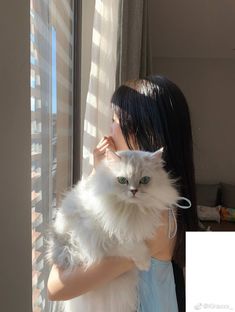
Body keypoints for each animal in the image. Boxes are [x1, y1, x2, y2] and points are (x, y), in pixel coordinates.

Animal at [46, 149, 178, 312]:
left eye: (145, 180)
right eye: (122, 180)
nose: (134, 191)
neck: (130, 210)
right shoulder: (102, 238)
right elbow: (131, 246)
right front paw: (145, 263)